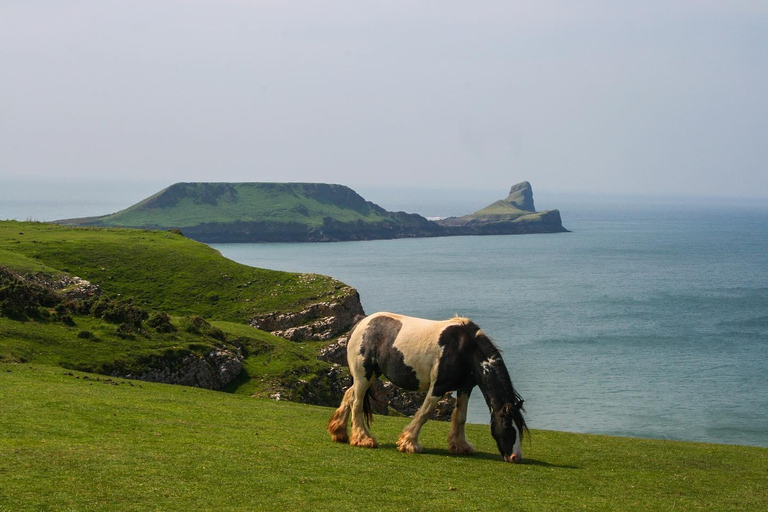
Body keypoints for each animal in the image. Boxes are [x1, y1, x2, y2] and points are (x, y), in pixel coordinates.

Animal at [324, 312, 528, 464]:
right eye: (508, 426)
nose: (515, 457)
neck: (465, 349)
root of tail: (359, 325)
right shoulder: (439, 386)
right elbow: (424, 413)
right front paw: (408, 443)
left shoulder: (465, 388)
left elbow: (461, 417)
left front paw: (460, 446)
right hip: (364, 375)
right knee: (357, 403)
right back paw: (363, 439)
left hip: (370, 375)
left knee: (349, 395)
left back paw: (339, 432)